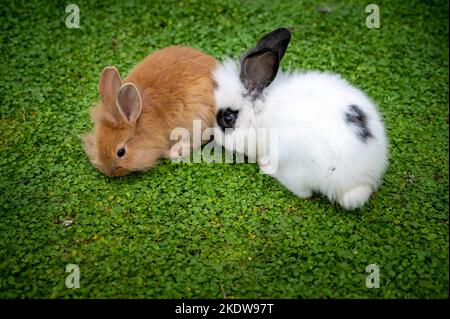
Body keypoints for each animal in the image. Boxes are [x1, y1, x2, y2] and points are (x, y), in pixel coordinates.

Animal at [214, 28, 386, 210]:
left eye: (228, 118)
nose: (216, 138)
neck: (260, 111)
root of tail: (357, 183)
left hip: (295, 166)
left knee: (303, 192)